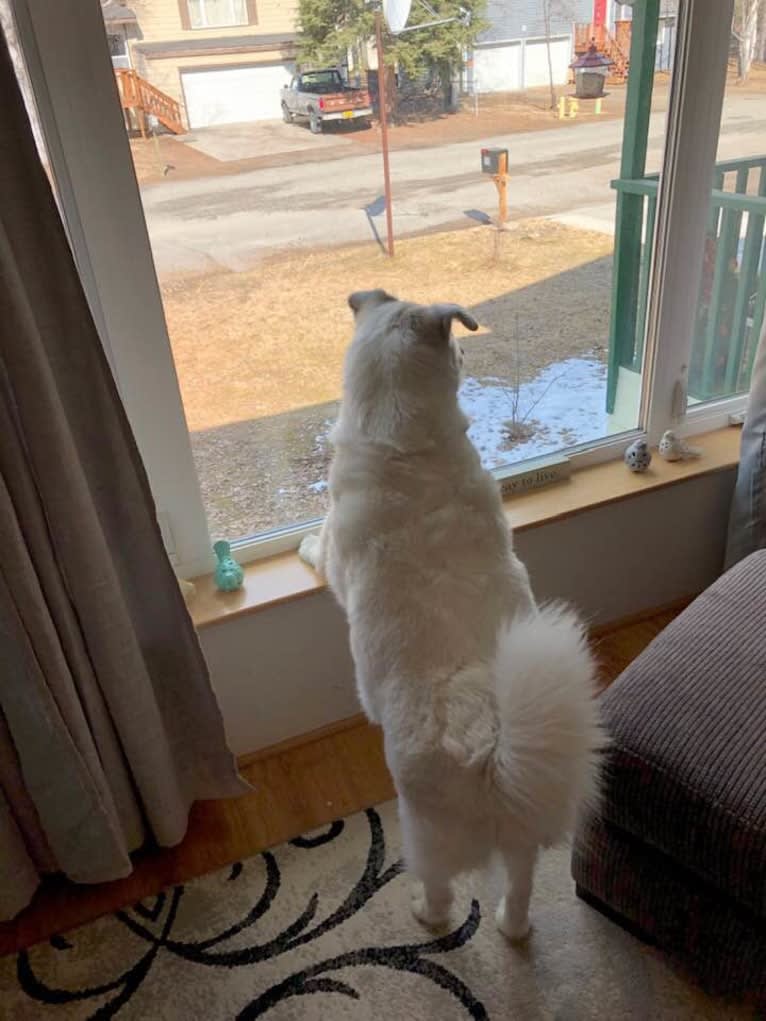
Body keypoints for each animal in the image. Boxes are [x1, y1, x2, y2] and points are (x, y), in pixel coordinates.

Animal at [300, 289, 604, 939]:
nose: (466, 351)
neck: (406, 443)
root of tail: (494, 754)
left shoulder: (336, 548)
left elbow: (319, 547)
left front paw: (303, 545)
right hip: (521, 841)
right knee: (520, 889)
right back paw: (512, 927)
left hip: (424, 834)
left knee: (441, 892)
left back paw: (426, 913)